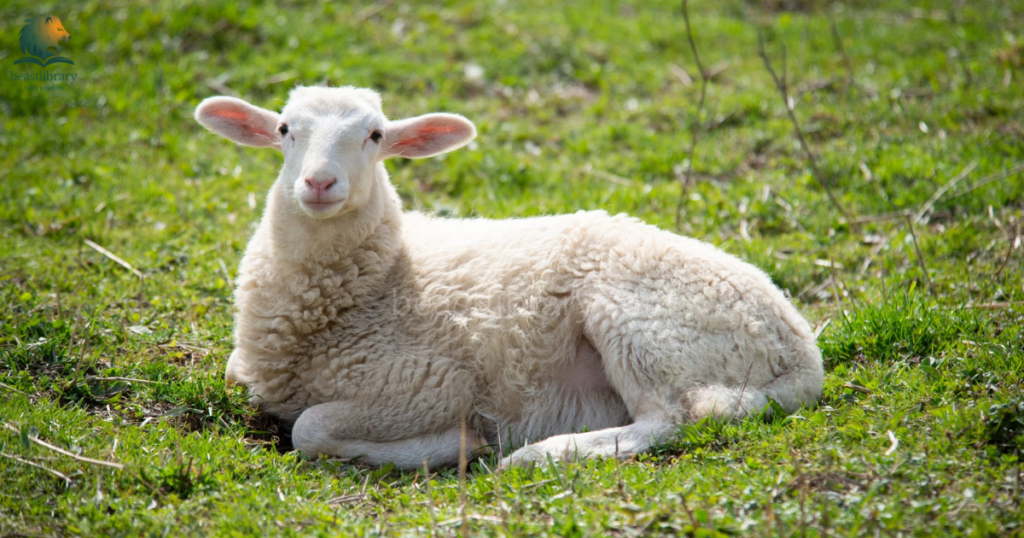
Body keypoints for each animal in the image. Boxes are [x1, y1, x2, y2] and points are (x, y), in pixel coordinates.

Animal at [193, 85, 824, 470]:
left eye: (375, 136)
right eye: (284, 129)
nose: (320, 183)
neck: (383, 282)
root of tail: (799, 347)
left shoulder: (428, 383)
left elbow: (310, 428)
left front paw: (456, 444)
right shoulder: (250, 365)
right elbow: (239, 378)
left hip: (643, 326)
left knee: (673, 419)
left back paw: (541, 454)